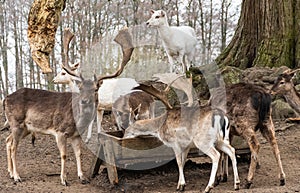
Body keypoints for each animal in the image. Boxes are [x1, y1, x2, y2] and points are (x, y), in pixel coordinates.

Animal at [4, 27, 134, 185]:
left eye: (95, 89)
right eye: (81, 88)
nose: (84, 100)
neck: (76, 120)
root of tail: (5, 98)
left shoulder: (76, 135)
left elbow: (78, 153)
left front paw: (82, 177)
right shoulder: (60, 131)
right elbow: (64, 155)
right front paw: (63, 179)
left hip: (26, 128)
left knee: (8, 141)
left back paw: (11, 173)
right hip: (16, 122)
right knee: (13, 147)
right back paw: (17, 177)